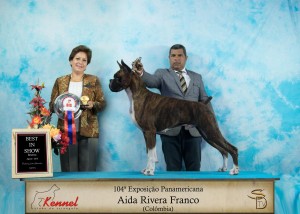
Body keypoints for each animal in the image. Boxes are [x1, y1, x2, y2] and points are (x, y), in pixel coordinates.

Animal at [108, 59, 239, 176]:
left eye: (117, 77)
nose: (110, 81)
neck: (136, 95)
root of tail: (203, 104)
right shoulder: (145, 133)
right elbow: (149, 153)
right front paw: (147, 170)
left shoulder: (150, 132)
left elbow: (151, 154)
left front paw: (150, 171)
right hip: (206, 134)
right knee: (223, 151)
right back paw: (223, 168)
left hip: (211, 130)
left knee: (231, 149)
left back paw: (235, 170)